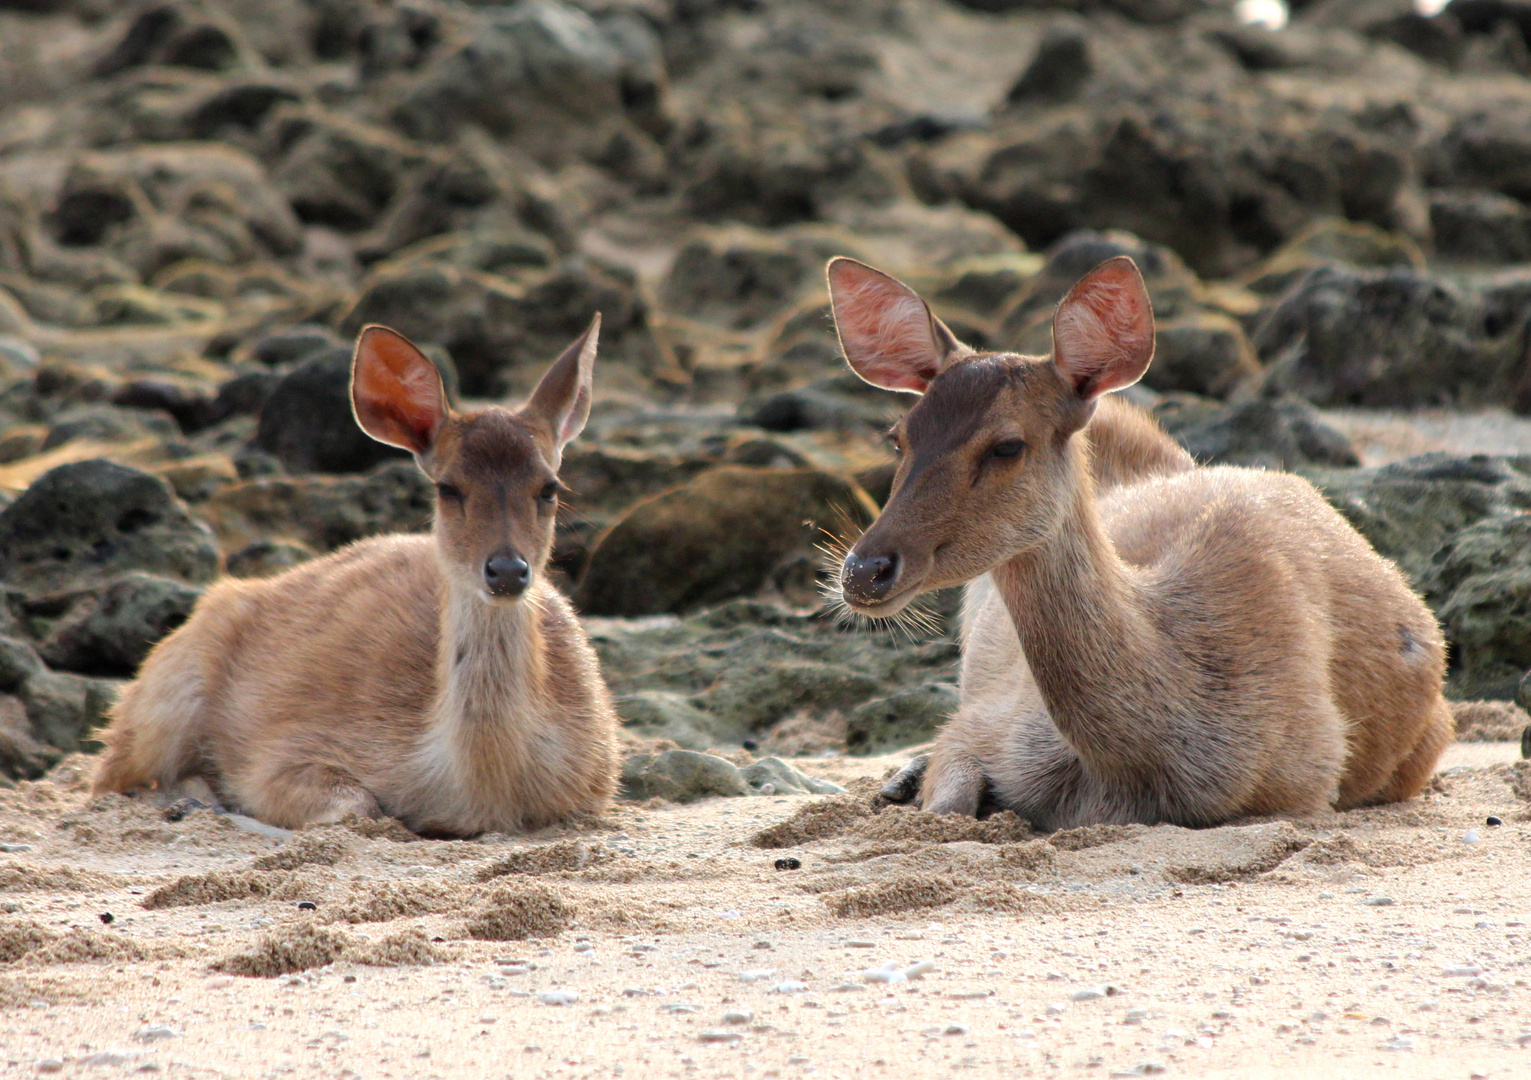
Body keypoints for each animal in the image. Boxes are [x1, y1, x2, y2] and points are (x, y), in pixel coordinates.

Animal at [92, 314, 618, 833]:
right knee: (110, 777)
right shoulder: (280, 753)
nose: (506, 570)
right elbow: (354, 807)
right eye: (448, 488)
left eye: (549, 488)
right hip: (168, 694)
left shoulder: (596, 784)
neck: (481, 786)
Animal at [832, 254, 1451, 827]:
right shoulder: (984, 718)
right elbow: (948, 802)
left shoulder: (1311, 779)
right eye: (897, 436)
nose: (864, 570)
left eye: (1007, 445)